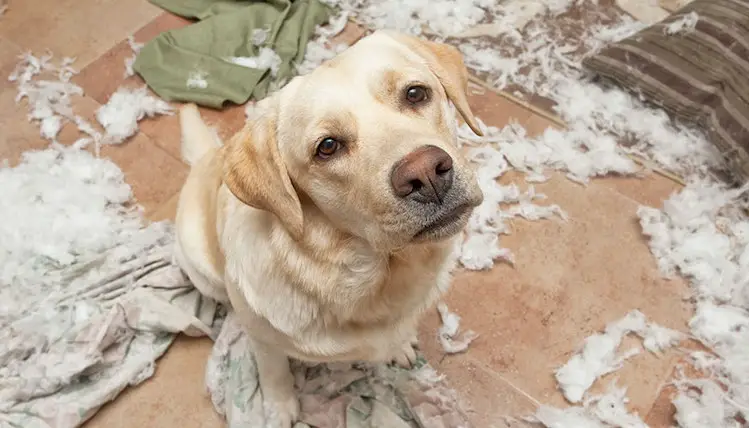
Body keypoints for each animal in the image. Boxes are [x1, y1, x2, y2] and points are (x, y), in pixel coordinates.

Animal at [173, 29, 482, 424]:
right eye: (328, 147)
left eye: (415, 93)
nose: (426, 174)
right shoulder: (264, 340)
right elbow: (274, 372)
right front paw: (279, 408)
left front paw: (399, 344)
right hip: (201, 265)